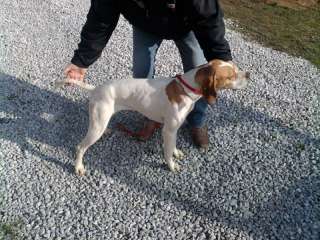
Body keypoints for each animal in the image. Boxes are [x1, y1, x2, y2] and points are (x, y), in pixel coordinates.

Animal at [55, 59, 250, 176]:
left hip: (100, 122)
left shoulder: (174, 130)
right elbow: (167, 152)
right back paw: (78, 167)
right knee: (80, 147)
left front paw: (176, 153)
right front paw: (171, 166)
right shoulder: (168, 131)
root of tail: (96, 89)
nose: (248, 74)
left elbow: (173, 147)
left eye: (235, 67)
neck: (186, 89)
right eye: (231, 76)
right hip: (96, 126)